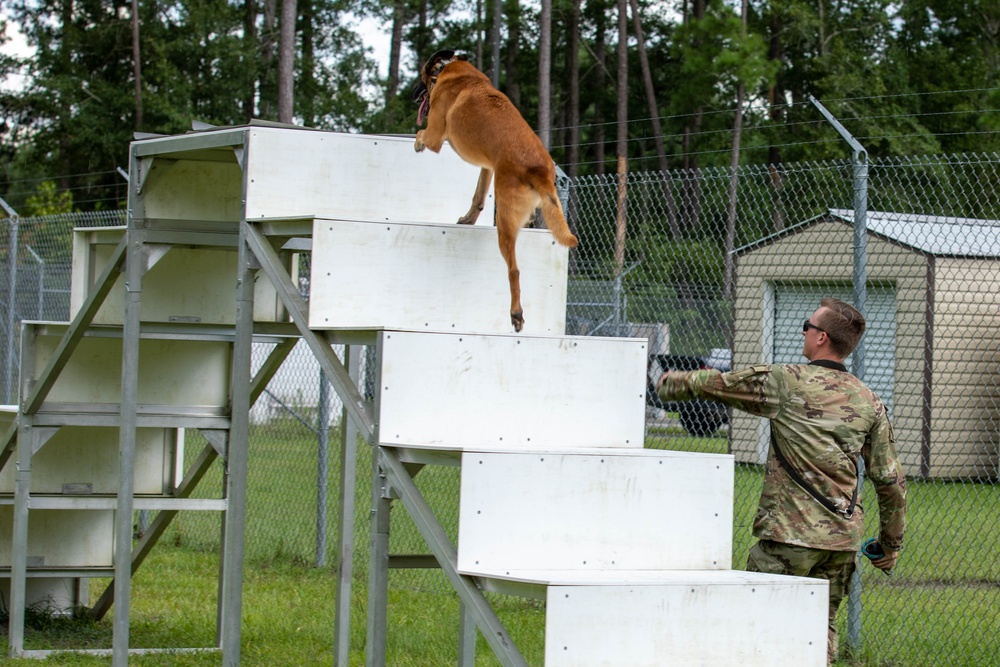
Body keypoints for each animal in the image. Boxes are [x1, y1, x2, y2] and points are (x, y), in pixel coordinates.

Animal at [408, 49, 580, 332]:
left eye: (420, 76)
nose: (412, 94)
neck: (450, 68)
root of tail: (540, 171)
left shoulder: (435, 135)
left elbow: (422, 133)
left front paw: (416, 144)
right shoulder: (488, 167)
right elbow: (478, 197)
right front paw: (468, 219)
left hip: (505, 222)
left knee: (514, 270)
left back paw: (516, 313)